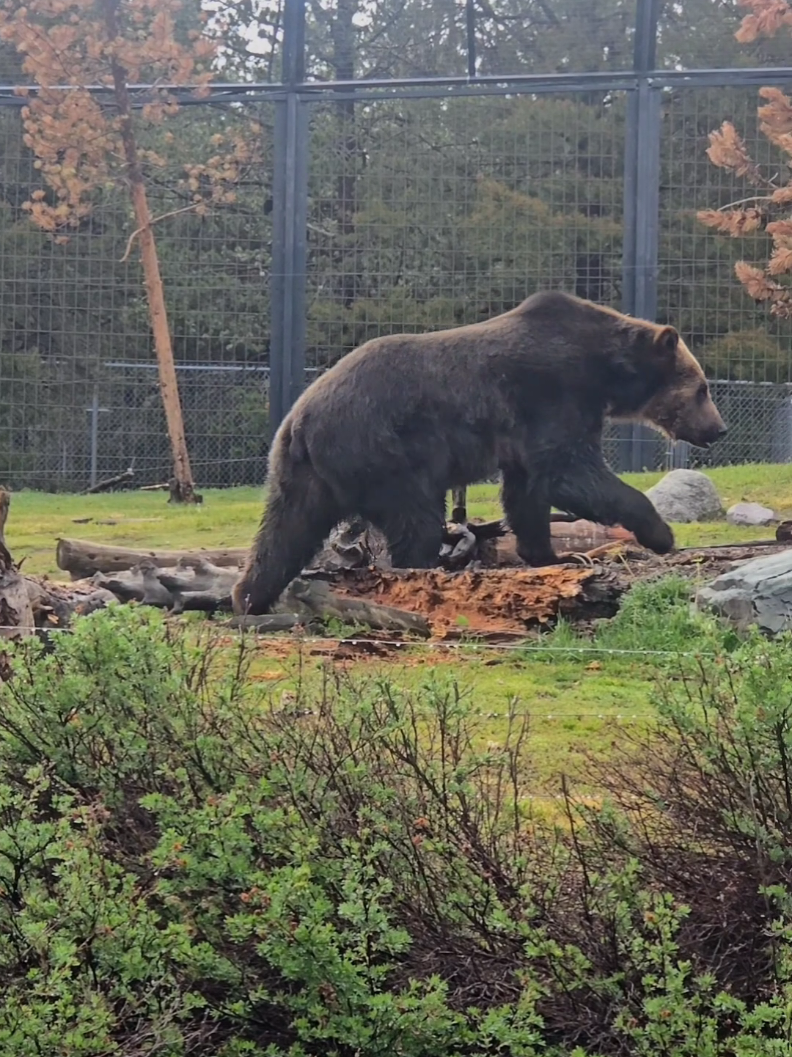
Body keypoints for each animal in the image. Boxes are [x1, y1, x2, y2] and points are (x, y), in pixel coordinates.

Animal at [232, 290, 726, 615]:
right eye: (701, 389)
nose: (717, 429)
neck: (604, 371)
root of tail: (301, 419)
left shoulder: (526, 430)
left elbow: (528, 491)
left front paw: (556, 556)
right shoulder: (553, 393)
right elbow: (571, 472)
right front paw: (660, 533)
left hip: (302, 471)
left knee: (285, 530)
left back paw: (249, 596)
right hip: (383, 449)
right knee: (415, 519)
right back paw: (425, 574)